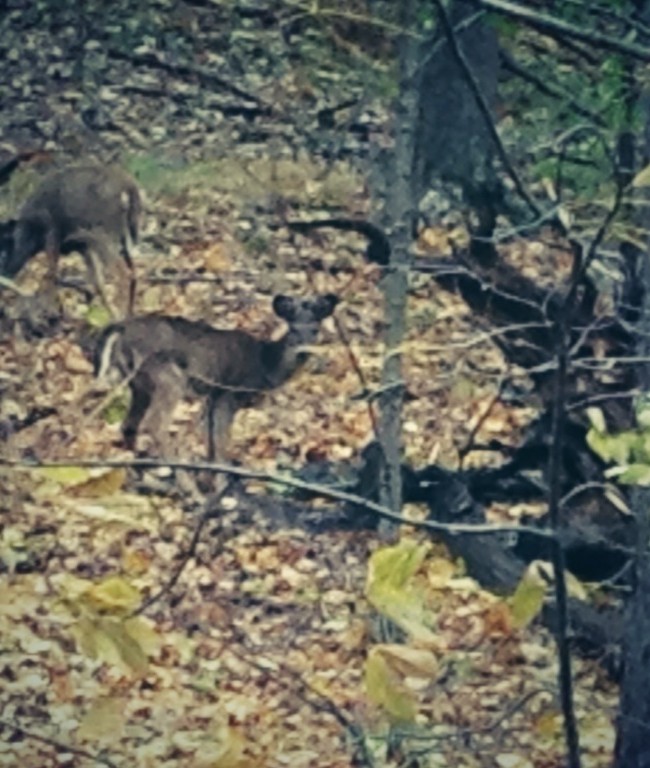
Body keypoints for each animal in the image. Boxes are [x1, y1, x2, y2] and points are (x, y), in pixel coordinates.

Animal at [0, 163, 141, 318]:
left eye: (3, 251)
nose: (5, 273)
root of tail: (127, 185)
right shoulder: (84, 247)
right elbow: (98, 282)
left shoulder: (52, 234)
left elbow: (52, 273)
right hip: (122, 236)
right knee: (132, 272)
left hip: (105, 237)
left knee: (125, 274)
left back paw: (123, 315)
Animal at [94, 293, 339, 460]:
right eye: (293, 329)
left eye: (315, 330)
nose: (304, 350)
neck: (265, 365)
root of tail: (120, 329)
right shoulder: (229, 391)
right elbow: (220, 441)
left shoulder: (213, 395)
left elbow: (211, 440)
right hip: (166, 375)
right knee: (155, 424)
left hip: (139, 383)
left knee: (128, 425)